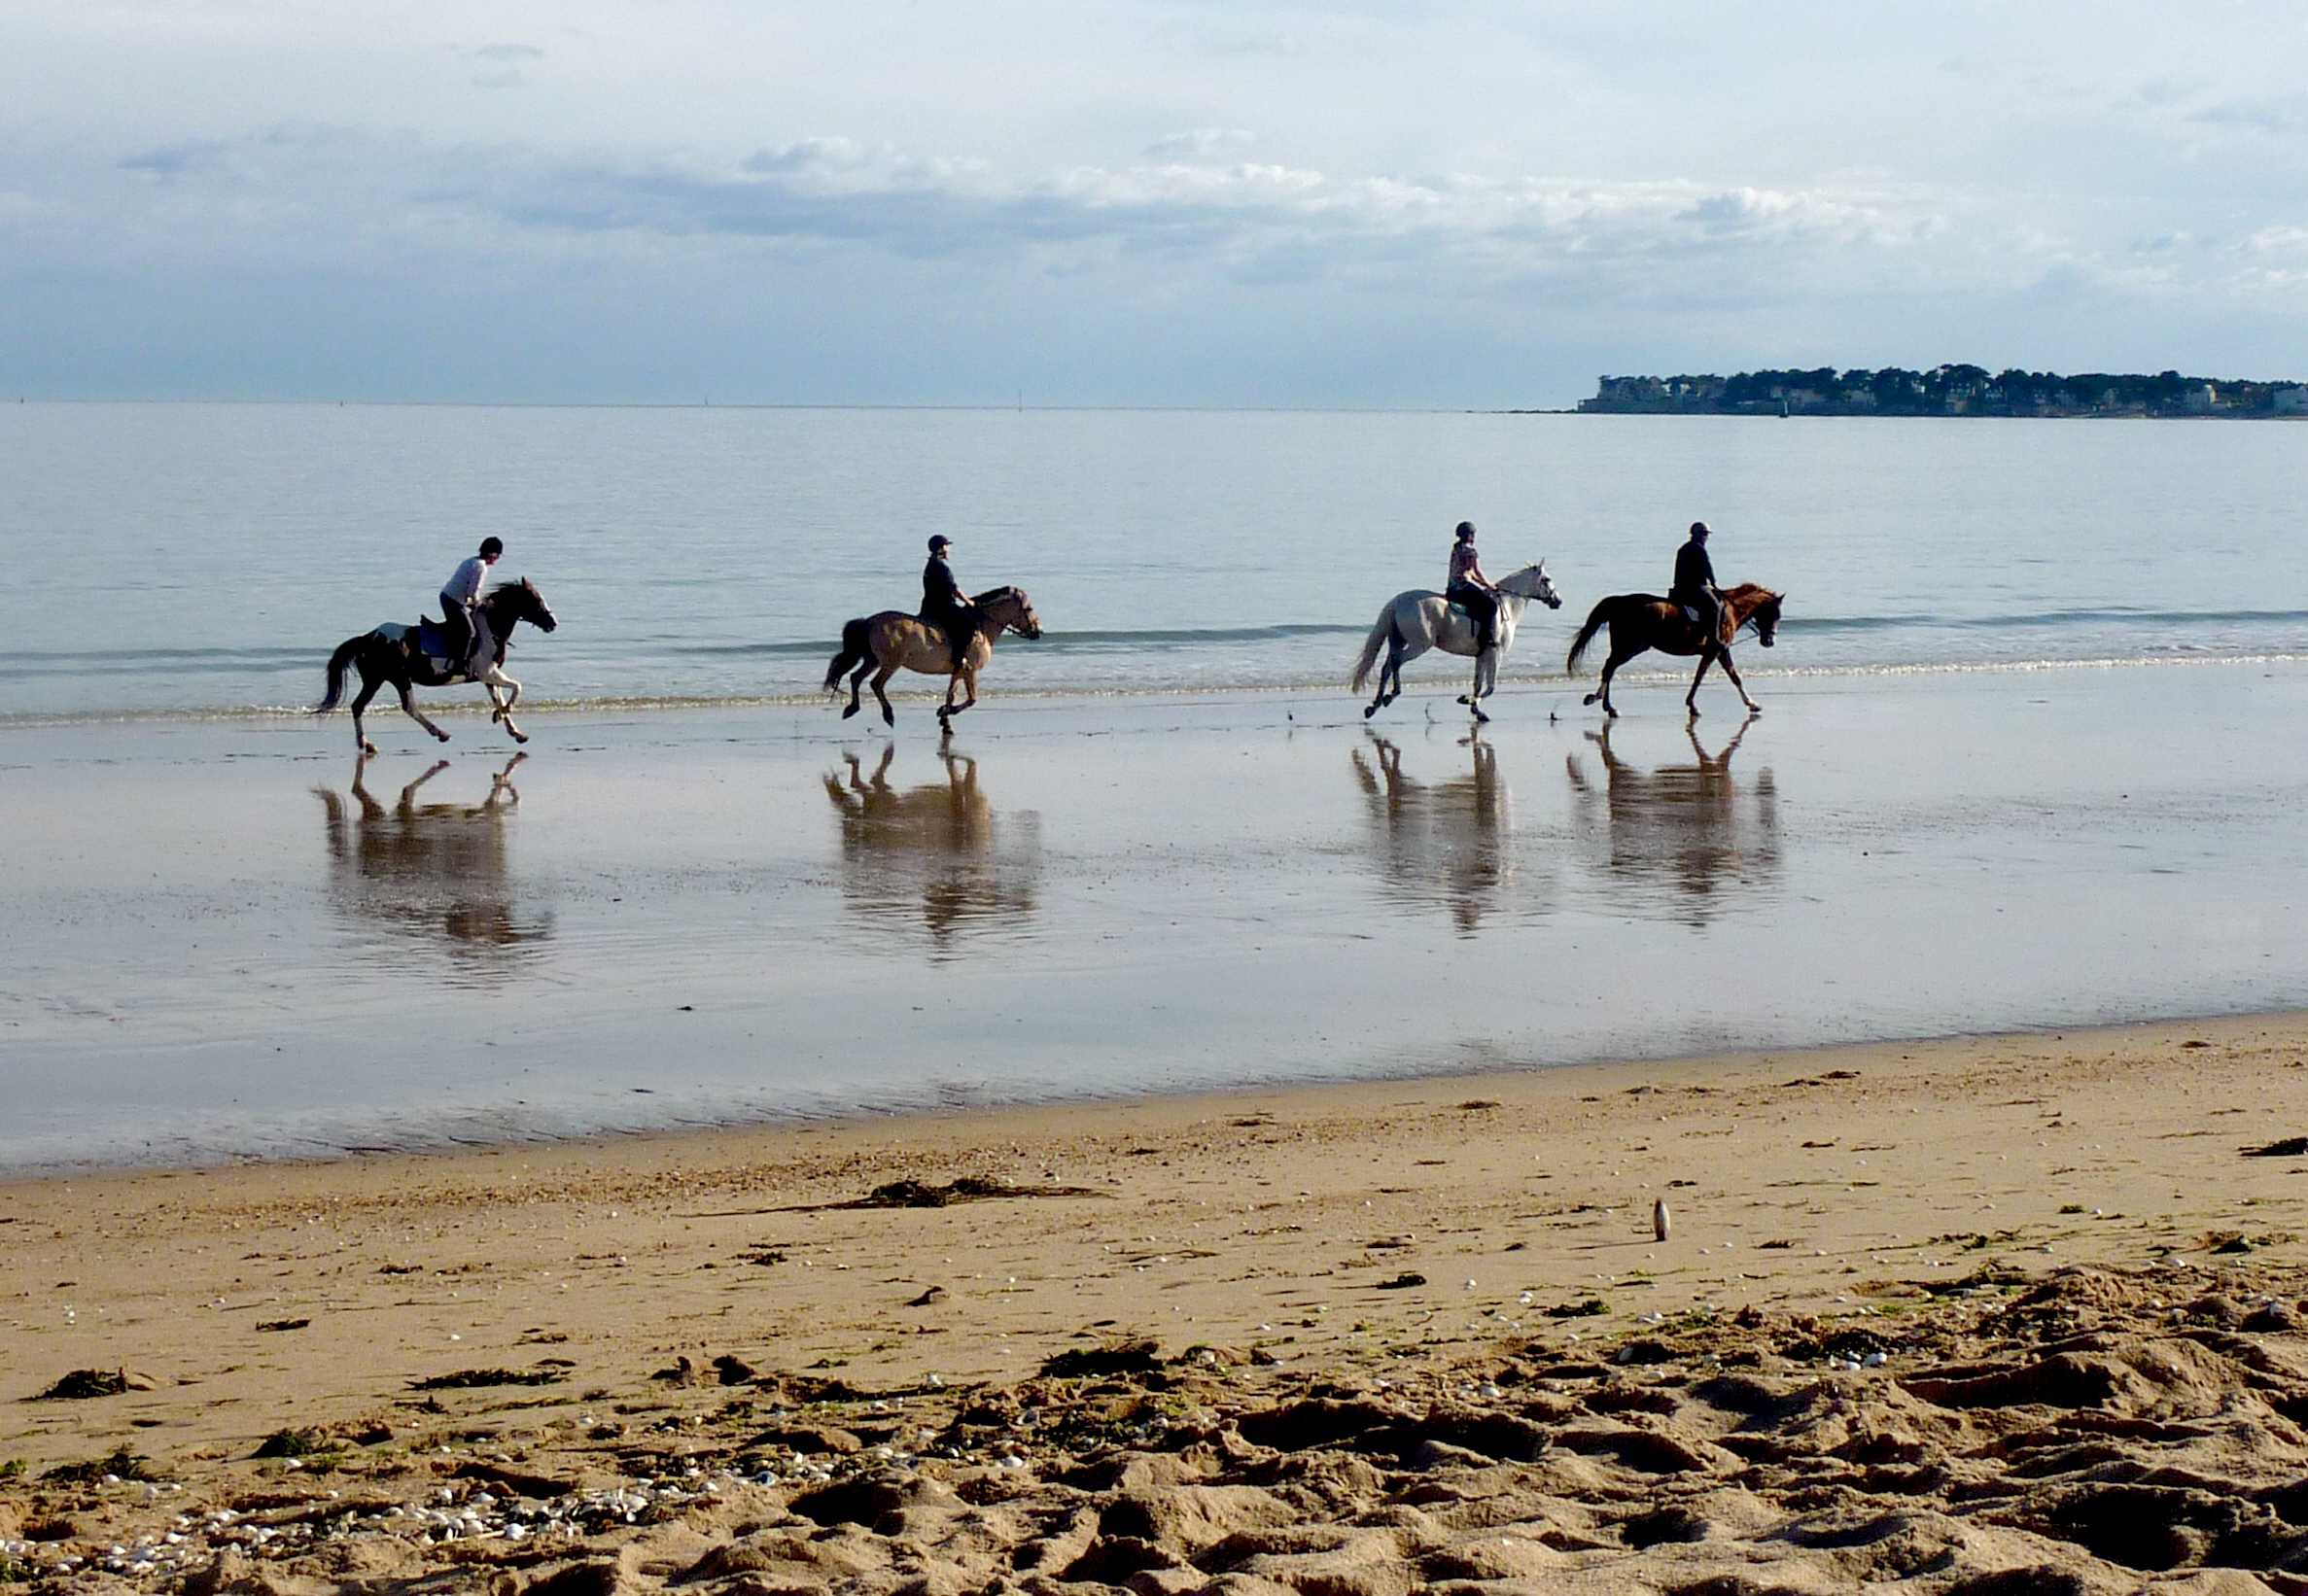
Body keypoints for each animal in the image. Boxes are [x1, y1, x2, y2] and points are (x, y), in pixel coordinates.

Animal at [316, 579, 559, 754]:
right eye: (535, 600)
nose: (553, 623)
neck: (491, 628)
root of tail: (369, 637)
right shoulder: (488, 672)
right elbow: (517, 688)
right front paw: (500, 716)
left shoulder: (488, 677)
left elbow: (500, 699)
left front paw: (516, 732)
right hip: (393, 677)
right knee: (405, 707)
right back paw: (438, 733)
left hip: (378, 679)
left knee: (359, 706)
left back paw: (367, 744)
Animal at [823, 586, 1043, 730]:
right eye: (1029, 609)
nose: (1038, 631)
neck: (981, 626)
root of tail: (869, 621)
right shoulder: (970, 671)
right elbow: (972, 699)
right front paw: (945, 713)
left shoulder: (959, 671)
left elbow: (951, 694)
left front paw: (945, 716)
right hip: (890, 663)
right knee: (875, 684)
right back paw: (888, 714)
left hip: (873, 660)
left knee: (856, 677)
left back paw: (852, 708)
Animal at [1350, 561, 1564, 723]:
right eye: (1546, 579)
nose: (1558, 601)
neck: (1508, 606)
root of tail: (1397, 602)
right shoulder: (1495, 653)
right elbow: (1490, 687)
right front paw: (1469, 701)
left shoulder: (1482, 655)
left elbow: (1478, 684)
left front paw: (1476, 709)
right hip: (1418, 645)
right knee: (1395, 663)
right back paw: (1391, 695)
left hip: (1399, 641)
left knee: (1387, 666)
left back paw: (1374, 705)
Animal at [1564, 581, 1782, 718]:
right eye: (1775, 614)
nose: (1770, 641)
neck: (1731, 609)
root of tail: (1620, 601)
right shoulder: (1718, 650)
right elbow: (1723, 676)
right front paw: (1752, 704)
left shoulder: (1715, 652)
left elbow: (1714, 675)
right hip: (1632, 646)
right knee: (1609, 667)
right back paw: (1598, 700)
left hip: (1623, 646)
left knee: (1610, 668)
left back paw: (1608, 707)